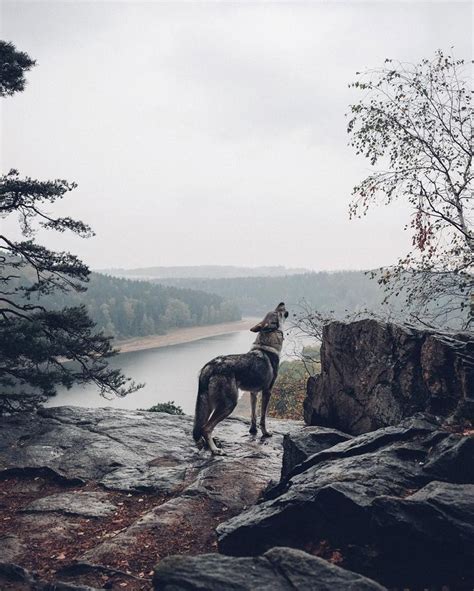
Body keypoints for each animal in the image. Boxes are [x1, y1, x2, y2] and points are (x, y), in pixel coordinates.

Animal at [193, 302, 288, 456]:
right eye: (277, 311)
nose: (281, 302)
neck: (267, 346)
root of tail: (209, 366)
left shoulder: (253, 393)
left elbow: (253, 416)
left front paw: (253, 431)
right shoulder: (267, 392)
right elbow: (263, 418)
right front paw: (265, 433)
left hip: (209, 405)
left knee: (200, 427)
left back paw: (206, 445)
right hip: (229, 405)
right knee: (205, 428)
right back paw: (215, 450)